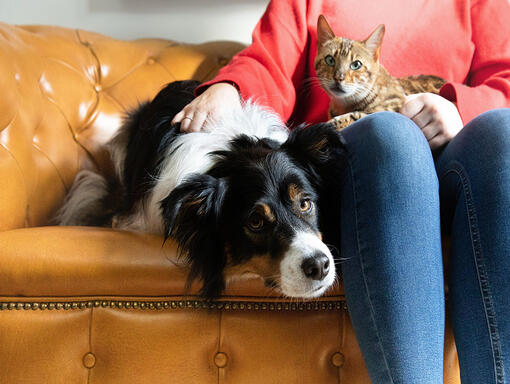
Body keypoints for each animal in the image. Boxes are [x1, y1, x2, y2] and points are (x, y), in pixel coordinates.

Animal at [314, 15, 446, 130]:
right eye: (330, 60)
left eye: (356, 65)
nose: (338, 77)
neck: (342, 105)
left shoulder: (394, 105)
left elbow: (359, 116)